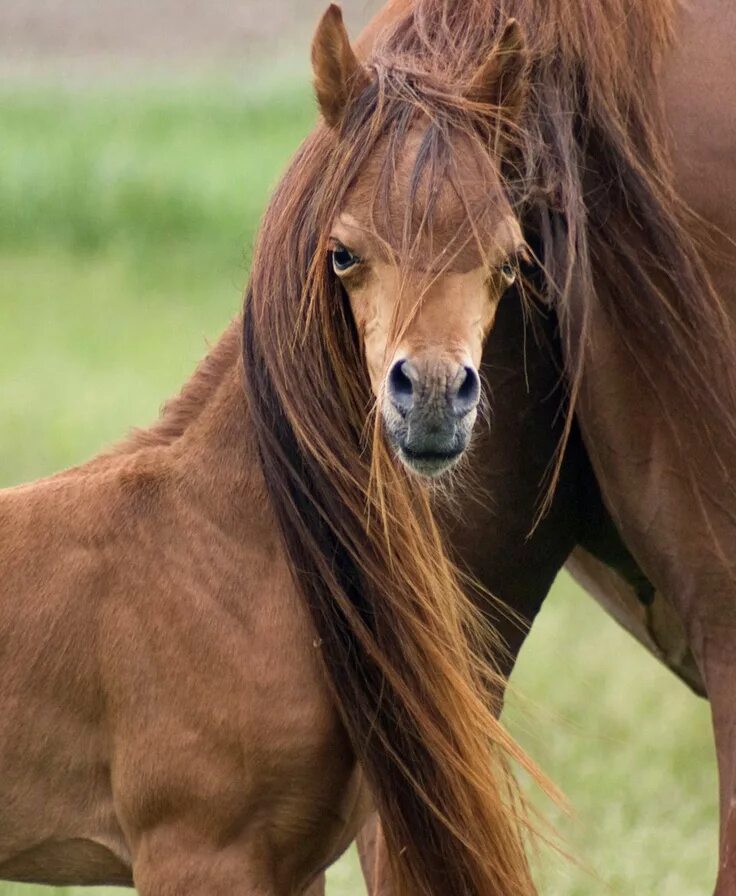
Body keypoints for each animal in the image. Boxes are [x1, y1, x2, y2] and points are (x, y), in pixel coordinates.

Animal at [0, 8, 564, 896]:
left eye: (509, 260)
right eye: (344, 252)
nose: (434, 396)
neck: (217, 552)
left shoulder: (297, 868)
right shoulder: (195, 855)